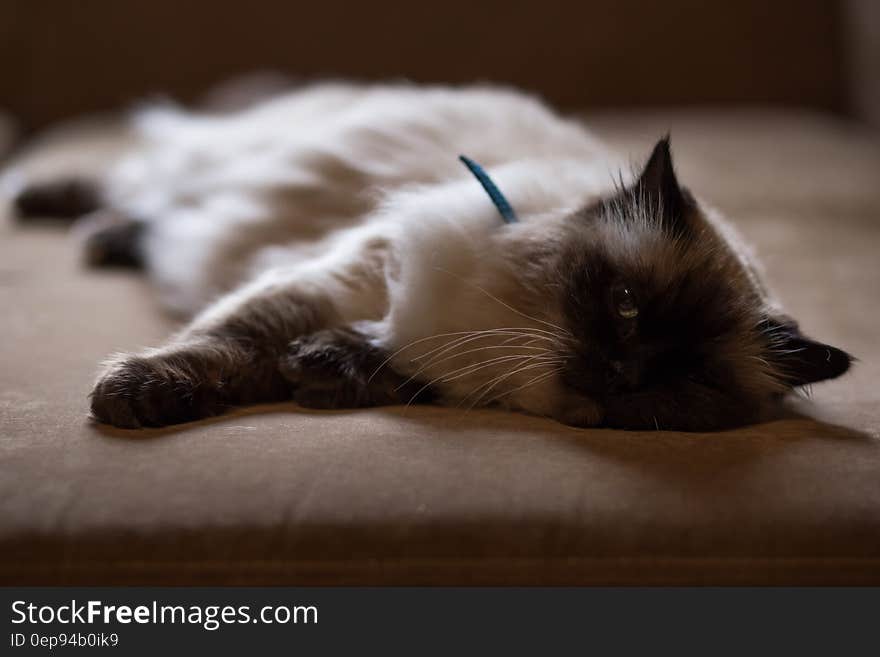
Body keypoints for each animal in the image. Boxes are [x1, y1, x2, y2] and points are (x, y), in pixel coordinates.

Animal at [5, 82, 852, 430]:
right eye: (625, 305)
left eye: (693, 376)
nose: (625, 374)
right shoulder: (342, 275)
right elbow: (227, 339)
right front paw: (135, 395)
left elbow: (374, 370)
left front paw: (325, 371)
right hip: (219, 163)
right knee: (137, 178)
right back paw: (55, 209)